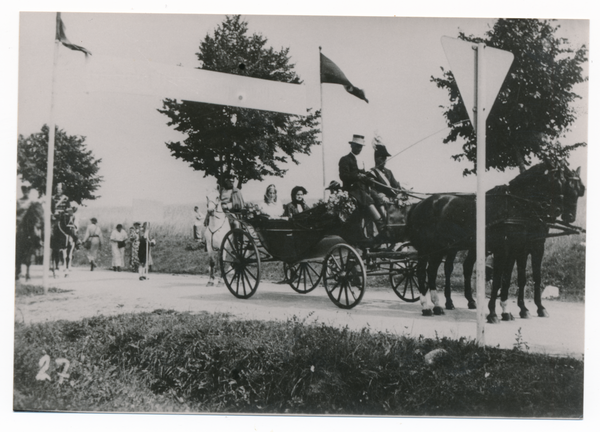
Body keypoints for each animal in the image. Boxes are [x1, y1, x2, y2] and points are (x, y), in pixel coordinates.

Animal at [406, 161, 580, 318]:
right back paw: (427, 307)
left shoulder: (518, 249)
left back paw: (439, 305)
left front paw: (508, 310)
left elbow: (509, 278)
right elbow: (498, 279)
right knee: (422, 271)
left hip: (442, 248)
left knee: (434, 271)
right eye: (556, 182)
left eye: (577, 190)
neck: (514, 206)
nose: (560, 212)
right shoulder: (503, 249)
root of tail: (419, 204)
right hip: (428, 248)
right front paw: (493, 313)